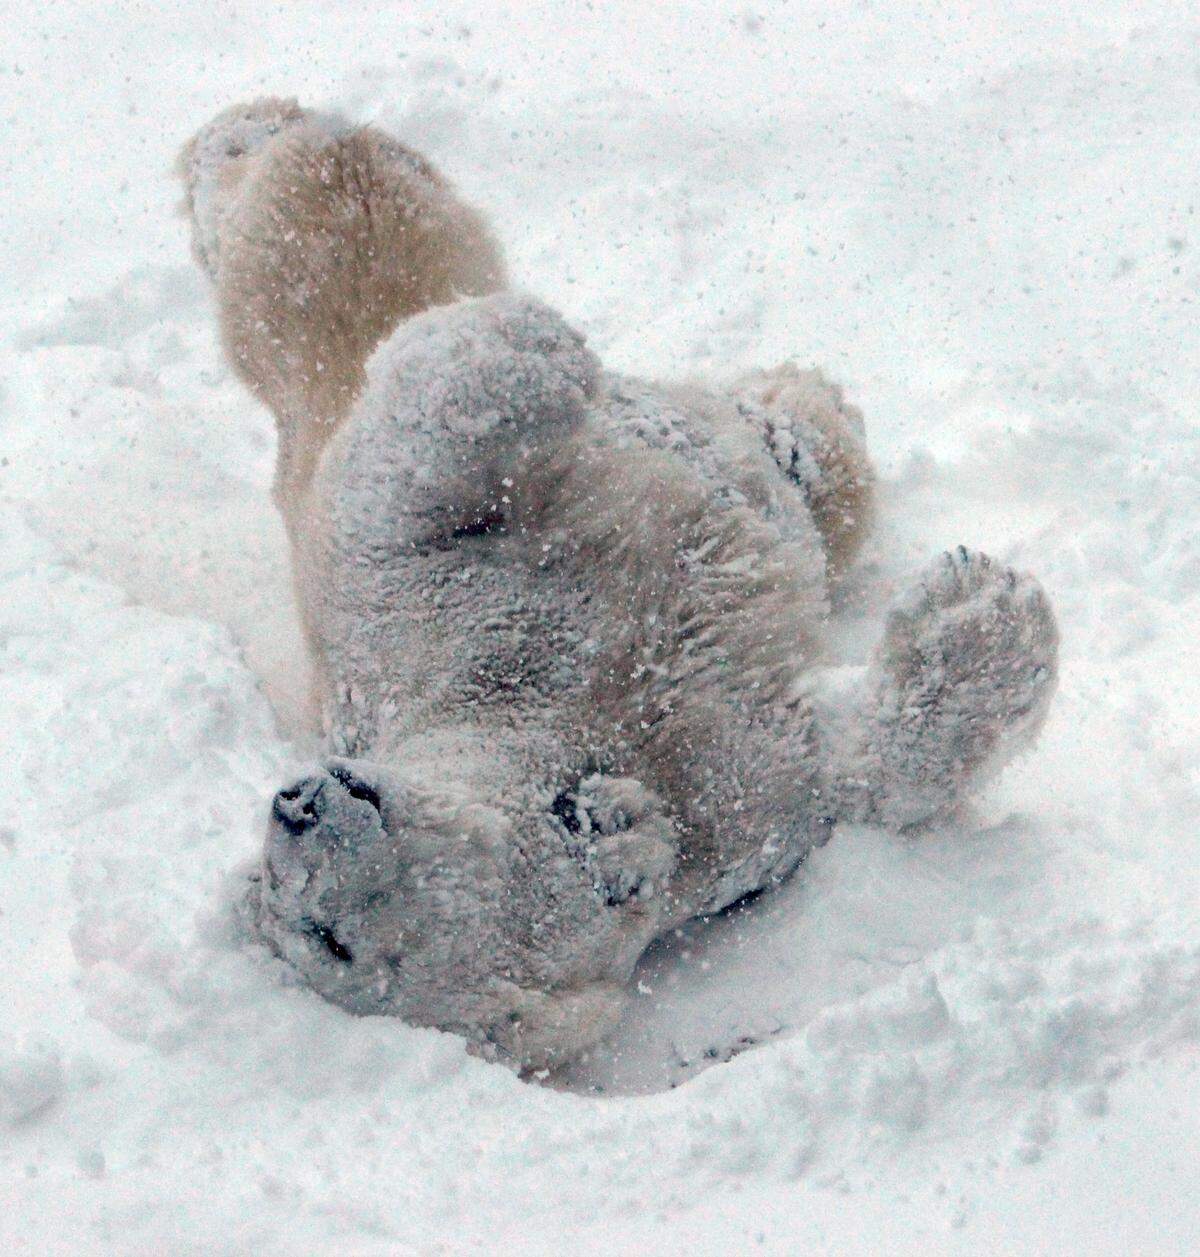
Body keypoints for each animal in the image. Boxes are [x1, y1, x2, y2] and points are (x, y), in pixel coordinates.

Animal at [178, 99, 1058, 1072]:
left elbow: (412, 500)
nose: (302, 803)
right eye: (325, 937)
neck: (562, 739)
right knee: (334, 261)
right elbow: (853, 771)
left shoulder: (462, 630)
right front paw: (988, 605)